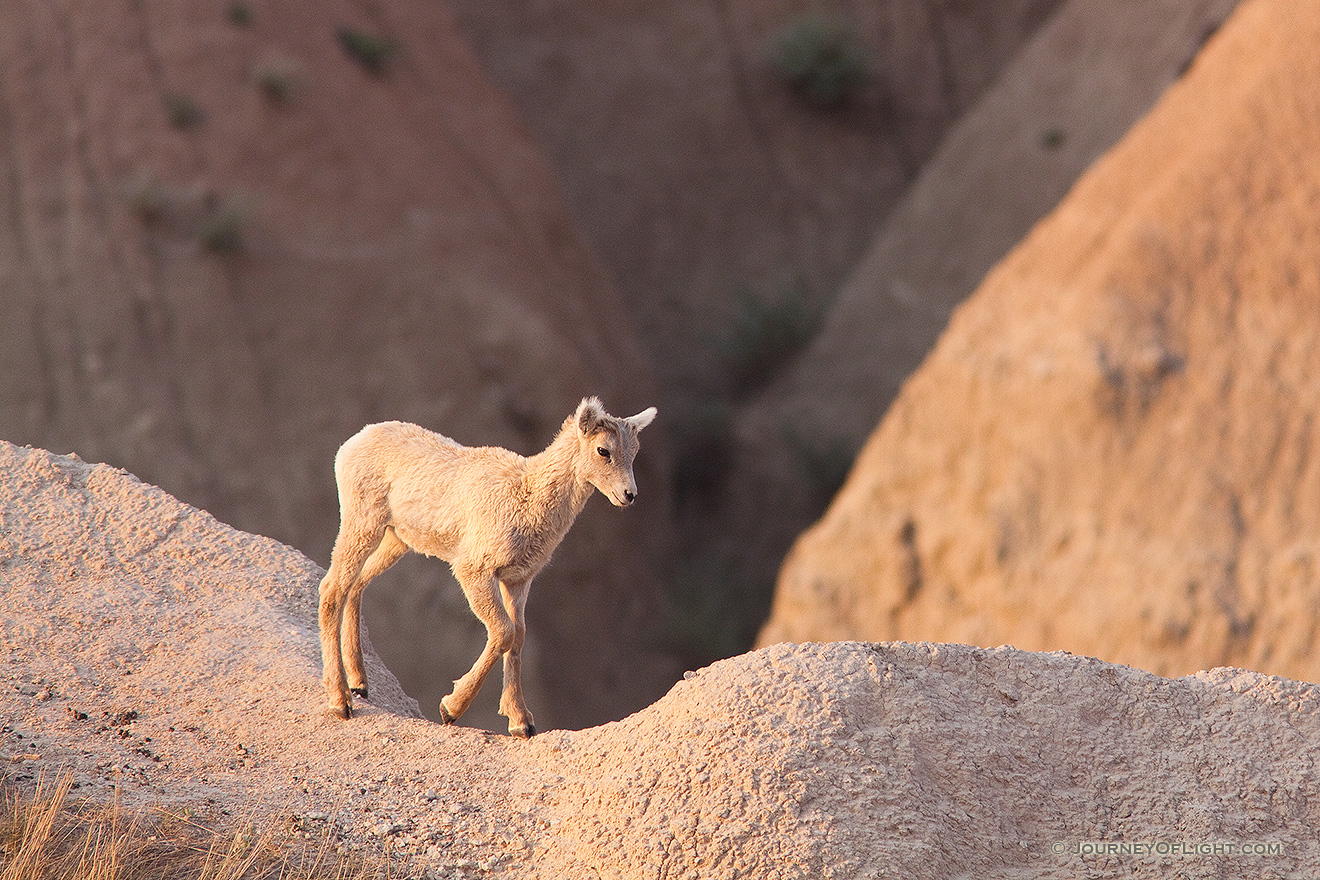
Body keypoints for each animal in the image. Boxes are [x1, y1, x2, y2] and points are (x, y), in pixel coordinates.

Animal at [315, 398, 654, 738]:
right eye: (603, 450)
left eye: (634, 451)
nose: (629, 495)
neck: (527, 496)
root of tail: (354, 442)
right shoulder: (474, 570)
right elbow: (503, 632)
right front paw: (451, 708)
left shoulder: (518, 581)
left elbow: (518, 637)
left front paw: (521, 722)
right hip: (362, 524)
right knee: (332, 588)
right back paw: (341, 702)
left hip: (396, 539)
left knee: (356, 585)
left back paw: (360, 684)